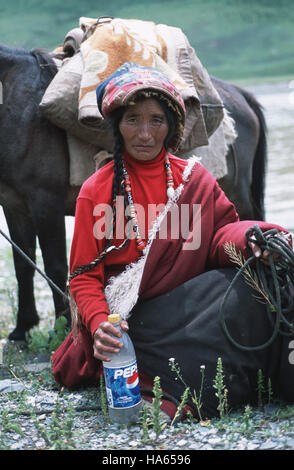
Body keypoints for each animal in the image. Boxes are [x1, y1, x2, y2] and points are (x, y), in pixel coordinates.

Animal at [0, 45, 266, 342]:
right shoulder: (14, 205)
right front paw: (22, 329)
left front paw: (63, 326)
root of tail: (240, 95)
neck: (18, 110)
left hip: (238, 191)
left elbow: (55, 266)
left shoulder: (45, 201)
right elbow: (23, 265)